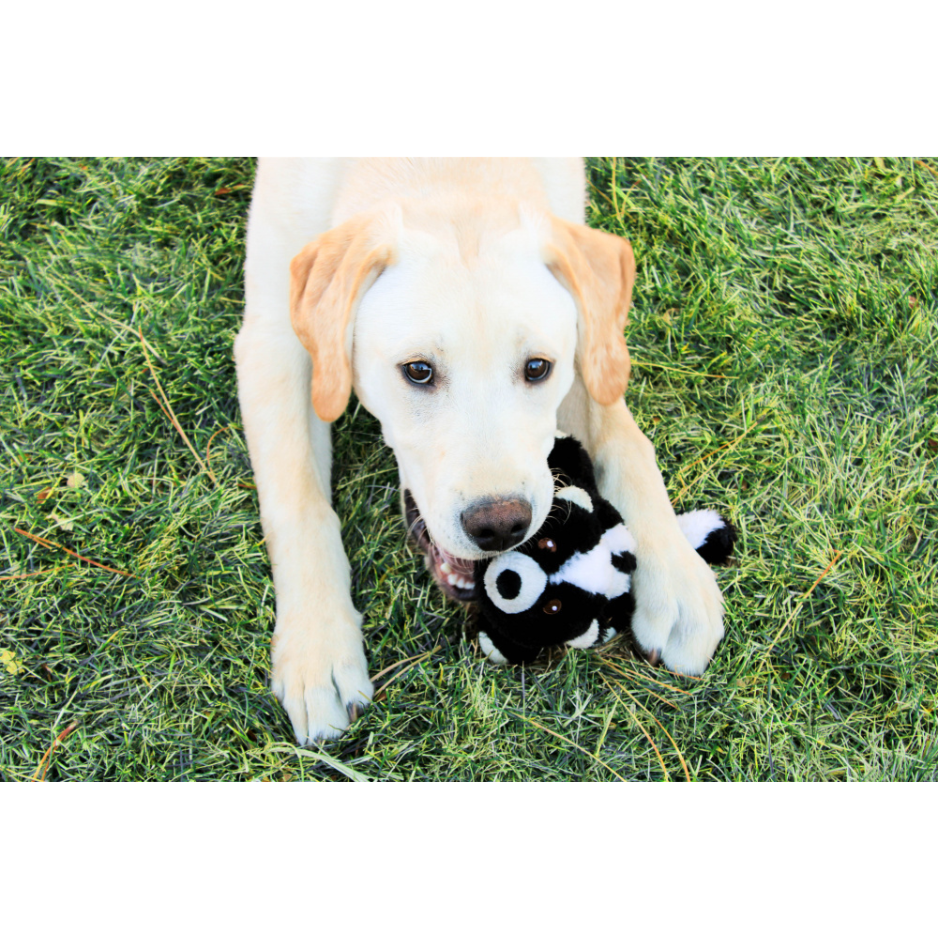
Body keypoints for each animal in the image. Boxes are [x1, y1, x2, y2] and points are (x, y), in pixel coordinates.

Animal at [236, 155, 724, 740]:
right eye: (418, 371)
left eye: (537, 367)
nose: (501, 527)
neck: (449, 172)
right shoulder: (271, 337)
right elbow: (299, 500)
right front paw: (318, 644)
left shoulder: (592, 329)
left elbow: (626, 441)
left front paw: (675, 576)